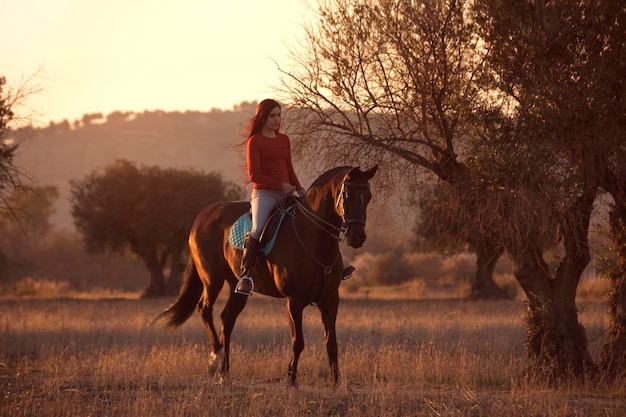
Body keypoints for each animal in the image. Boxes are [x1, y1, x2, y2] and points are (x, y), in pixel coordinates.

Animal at [155, 164, 376, 386]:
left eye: (368, 196)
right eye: (348, 194)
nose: (358, 237)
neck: (313, 237)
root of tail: (202, 216)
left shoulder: (330, 300)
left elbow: (331, 342)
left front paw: (335, 382)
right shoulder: (294, 301)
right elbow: (298, 342)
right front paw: (291, 379)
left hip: (236, 285)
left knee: (227, 319)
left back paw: (225, 373)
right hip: (212, 278)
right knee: (204, 309)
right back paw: (215, 357)